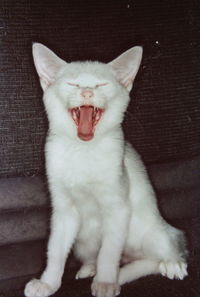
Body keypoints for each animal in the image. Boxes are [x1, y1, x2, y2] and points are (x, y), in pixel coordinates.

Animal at [24, 43, 188, 296]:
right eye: (73, 84)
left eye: (101, 84)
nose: (87, 93)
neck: (83, 151)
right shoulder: (63, 211)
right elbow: (56, 250)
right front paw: (48, 283)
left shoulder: (118, 208)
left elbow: (109, 253)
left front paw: (106, 282)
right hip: (83, 241)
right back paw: (91, 268)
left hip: (154, 232)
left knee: (165, 251)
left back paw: (171, 264)